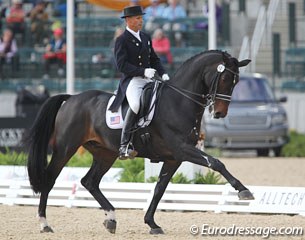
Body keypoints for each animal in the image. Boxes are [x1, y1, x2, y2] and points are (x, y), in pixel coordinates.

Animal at [24, 50, 252, 234]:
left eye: (236, 82)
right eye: (224, 78)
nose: (220, 113)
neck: (179, 101)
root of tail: (71, 98)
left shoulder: (174, 158)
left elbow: (160, 189)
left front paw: (152, 223)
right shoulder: (183, 149)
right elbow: (216, 162)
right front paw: (243, 190)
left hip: (105, 153)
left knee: (90, 181)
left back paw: (111, 219)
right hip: (65, 148)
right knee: (50, 179)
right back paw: (44, 224)